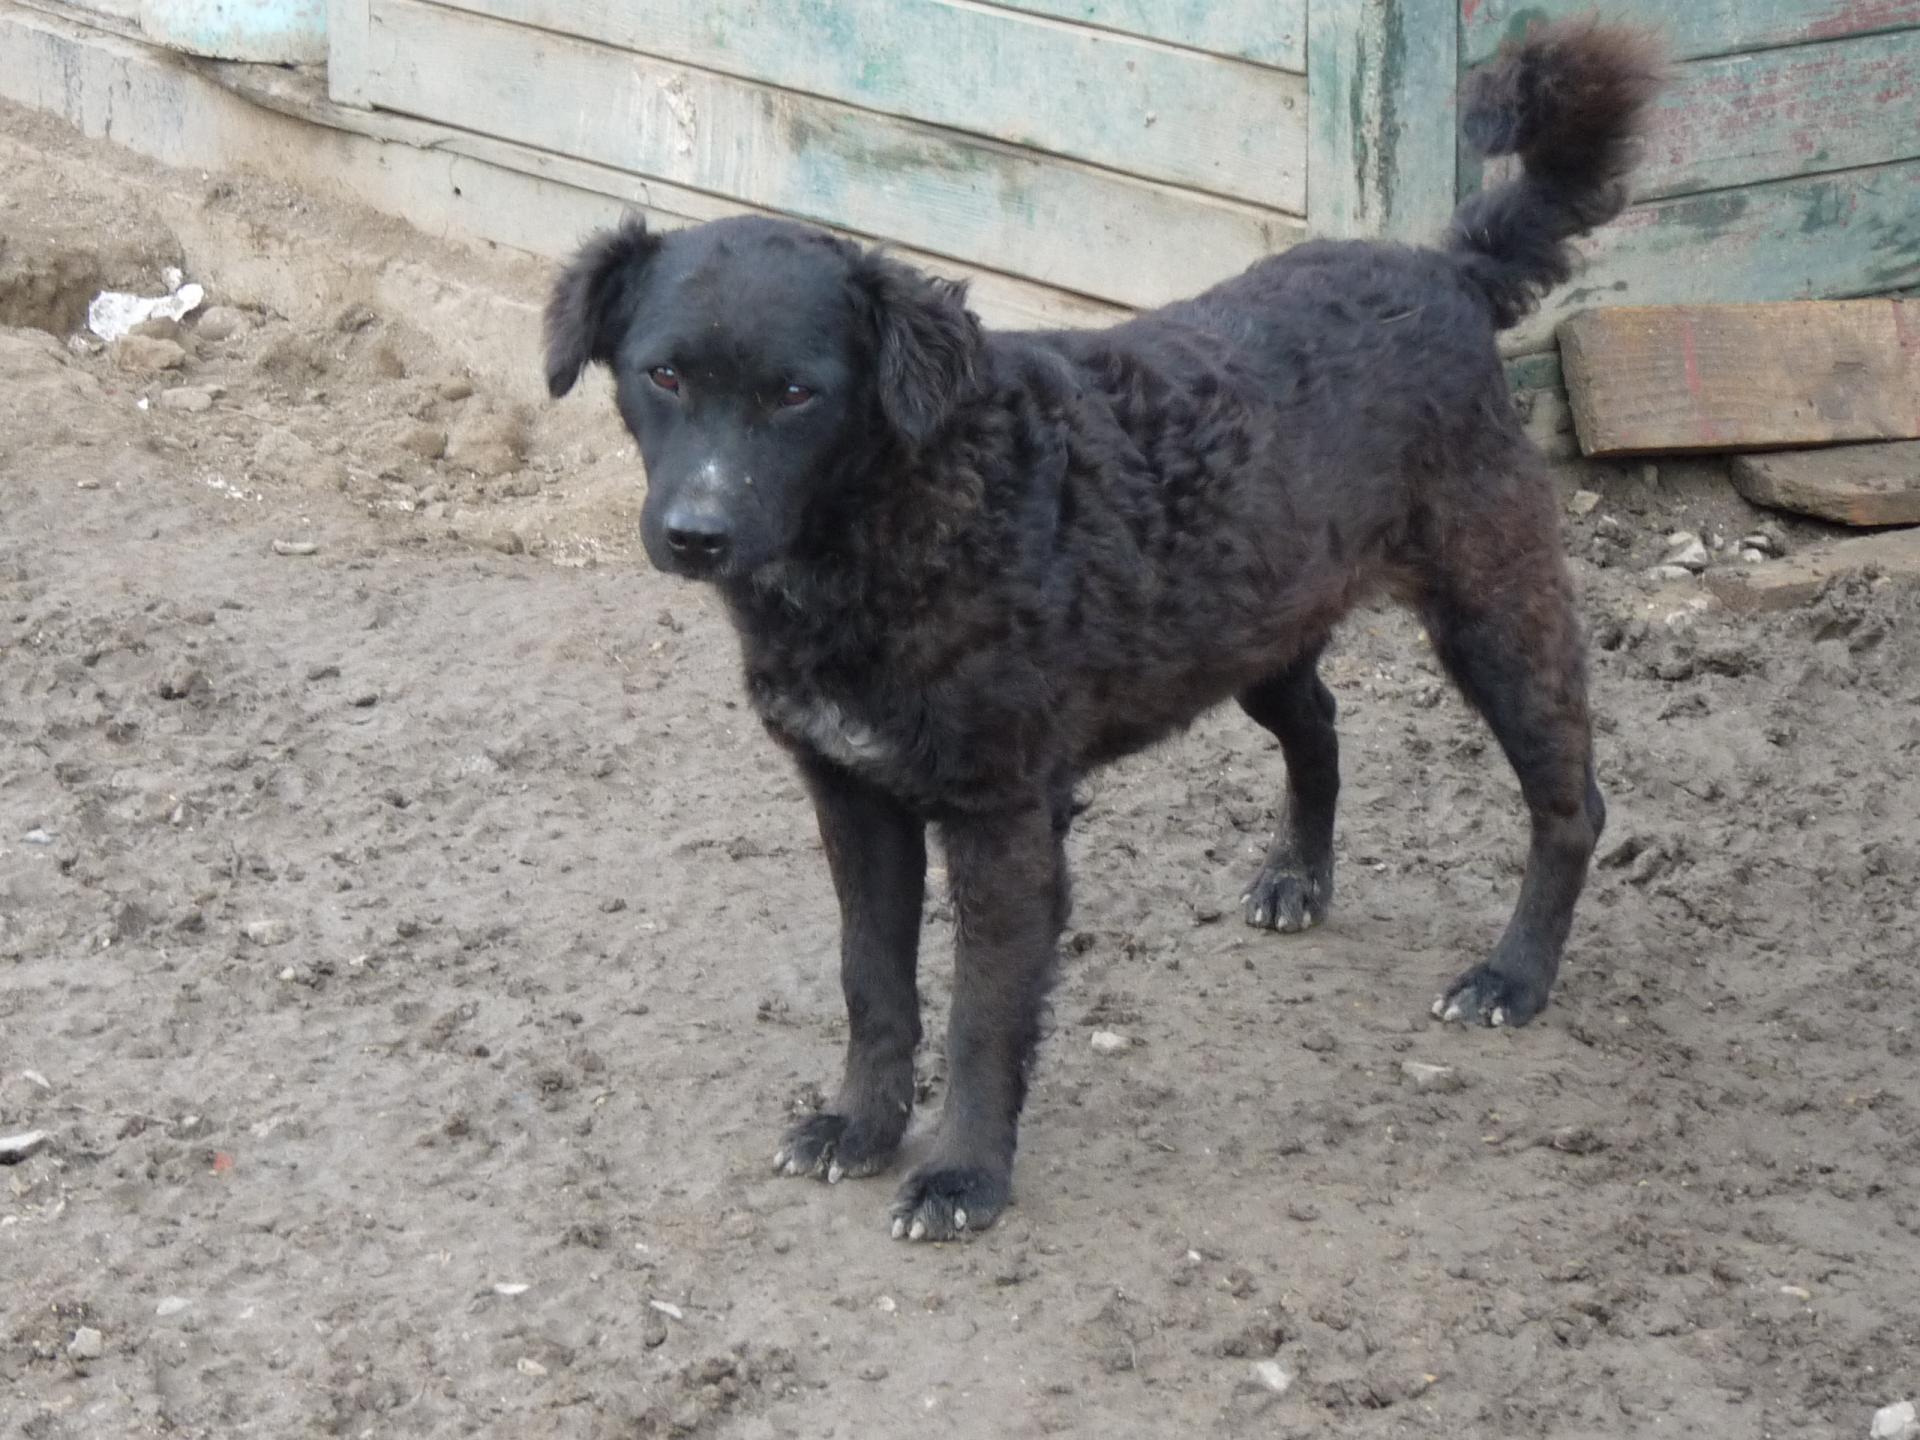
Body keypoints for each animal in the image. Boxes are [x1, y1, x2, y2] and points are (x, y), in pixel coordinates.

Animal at [545, 19, 1666, 1244]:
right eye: (662, 375)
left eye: (798, 394)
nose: (695, 534)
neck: (899, 516)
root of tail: (1447, 270)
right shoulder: (852, 795)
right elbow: (872, 985)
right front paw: (862, 1127)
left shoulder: (1002, 814)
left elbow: (982, 1013)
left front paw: (963, 1177)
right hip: (1255, 624)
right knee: (1319, 725)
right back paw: (1297, 878)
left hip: (1492, 610)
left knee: (1573, 801)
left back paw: (1513, 978)